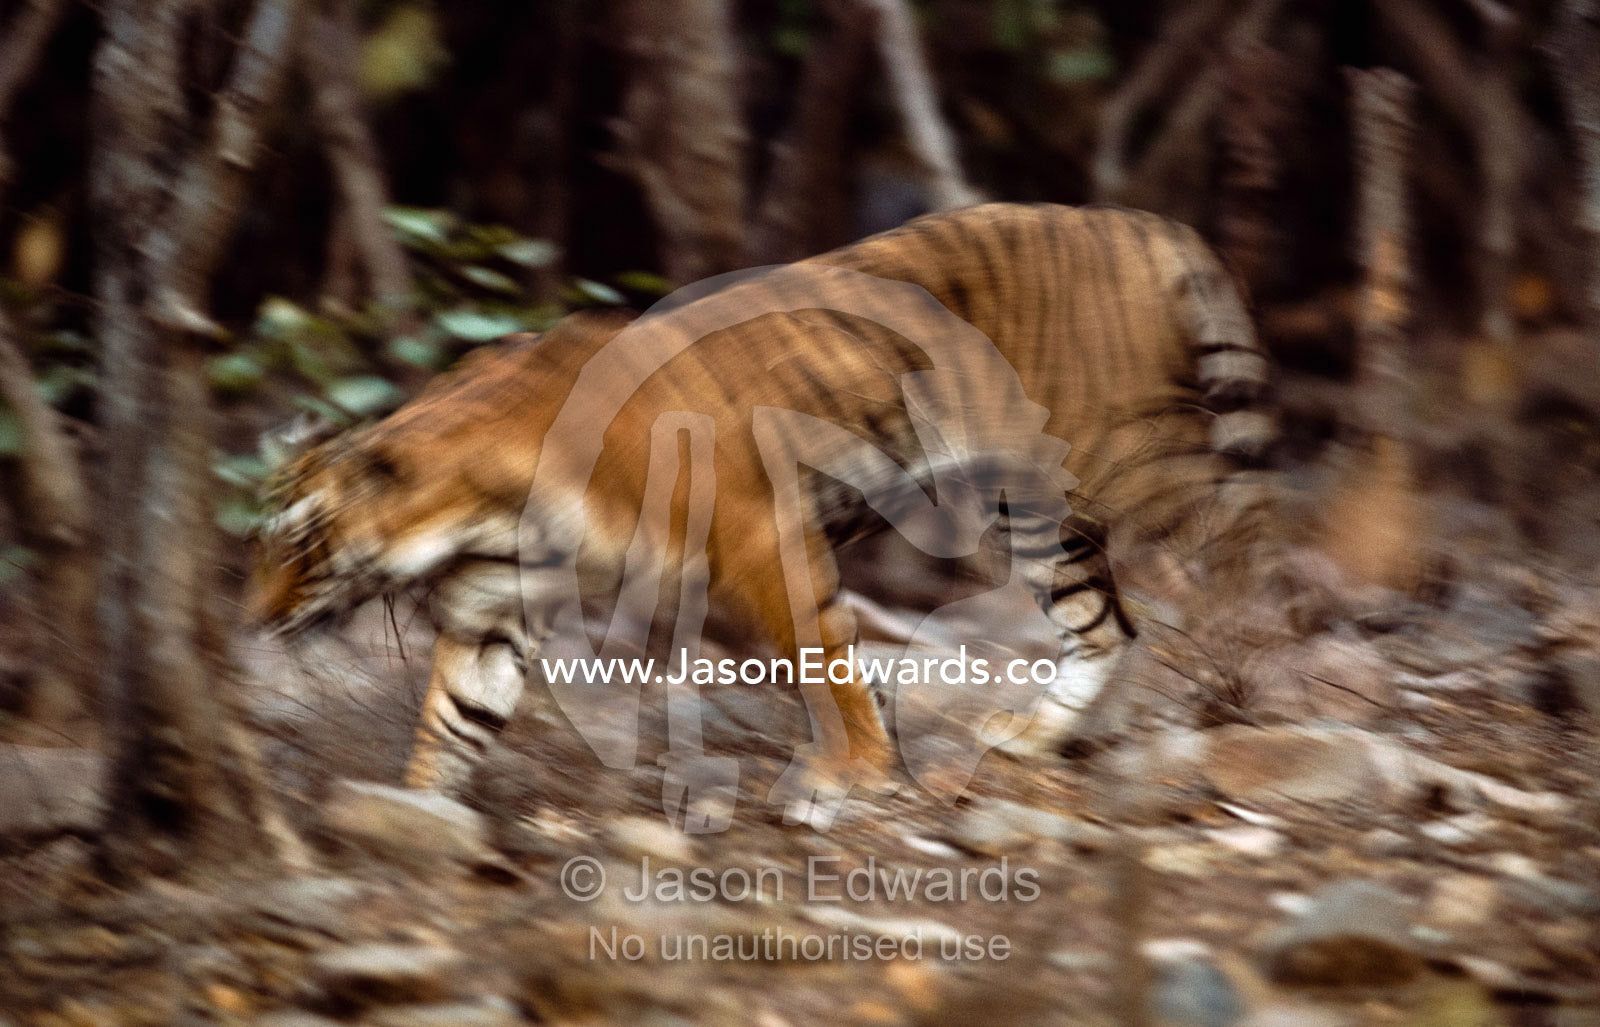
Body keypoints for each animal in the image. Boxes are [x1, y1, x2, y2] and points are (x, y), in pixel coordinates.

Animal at [251, 202, 1273, 822]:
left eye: (305, 539)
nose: (253, 619)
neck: (474, 515)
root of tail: (1132, 218)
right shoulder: (491, 612)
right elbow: (453, 724)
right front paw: (416, 820)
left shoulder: (757, 538)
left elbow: (827, 666)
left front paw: (849, 778)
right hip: (1032, 509)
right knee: (1106, 623)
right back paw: (1039, 734)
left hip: (1118, 460)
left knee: (1244, 538)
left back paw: (1254, 686)